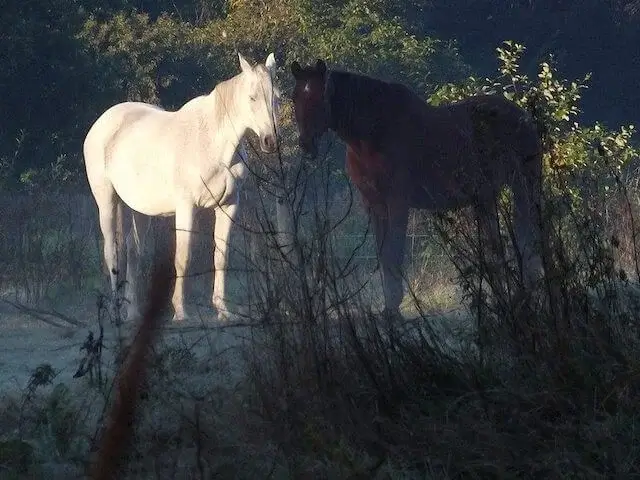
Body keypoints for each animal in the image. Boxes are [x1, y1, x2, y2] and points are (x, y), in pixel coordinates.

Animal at [84, 52, 281, 322]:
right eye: (252, 97)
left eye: (277, 97)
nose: (270, 142)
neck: (213, 143)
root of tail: (101, 123)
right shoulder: (186, 207)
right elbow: (183, 258)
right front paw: (180, 312)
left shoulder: (228, 206)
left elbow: (221, 256)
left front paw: (223, 310)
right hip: (106, 200)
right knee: (112, 252)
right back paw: (115, 312)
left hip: (138, 208)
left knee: (134, 252)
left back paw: (132, 312)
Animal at [289, 59, 545, 316]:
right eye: (295, 97)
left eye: (320, 96)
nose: (305, 143)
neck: (373, 133)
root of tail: (524, 117)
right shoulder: (374, 205)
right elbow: (384, 256)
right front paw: (389, 307)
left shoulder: (397, 203)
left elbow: (394, 253)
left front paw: (394, 307)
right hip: (485, 198)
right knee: (498, 248)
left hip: (524, 187)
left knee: (528, 238)